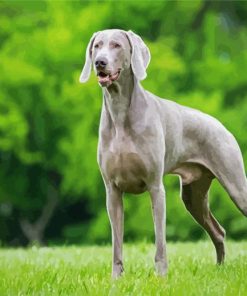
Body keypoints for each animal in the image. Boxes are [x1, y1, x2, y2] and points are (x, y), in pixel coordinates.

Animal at [79, 29, 247, 278]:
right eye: (97, 46)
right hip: (193, 195)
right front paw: (116, 279)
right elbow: (117, 242)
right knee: (218, 231)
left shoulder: (155, 187)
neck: (120, 112)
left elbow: (160, 240)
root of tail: (221, 125)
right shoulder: (112, 190)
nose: (100, 62)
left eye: (116, 45)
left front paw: (161, 277)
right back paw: (219, 269)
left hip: (236, 184)